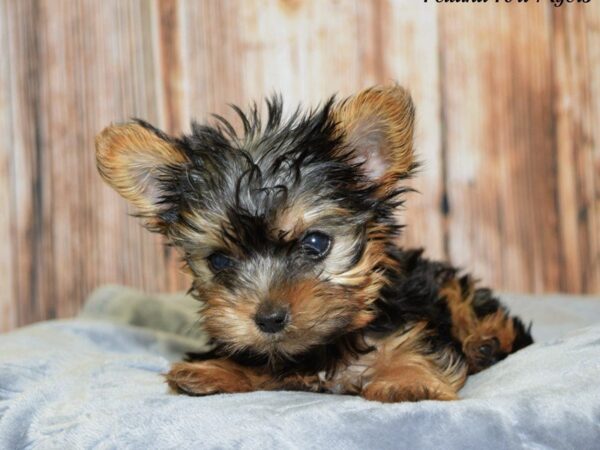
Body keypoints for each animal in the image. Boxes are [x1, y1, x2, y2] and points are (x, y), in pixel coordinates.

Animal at [96, 86, 532, 402]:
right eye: (219, 261)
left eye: (316, 242)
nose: (269, 319)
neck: (323, 346)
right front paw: (213, 370)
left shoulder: (411, 319)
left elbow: (414, 348)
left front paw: (408, 381)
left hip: (448, 286)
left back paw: (486, 342)